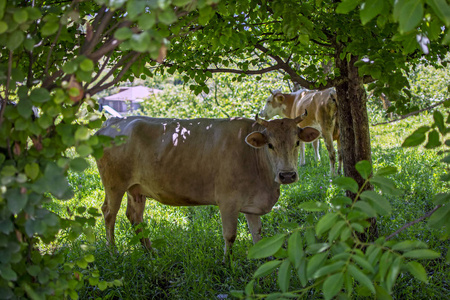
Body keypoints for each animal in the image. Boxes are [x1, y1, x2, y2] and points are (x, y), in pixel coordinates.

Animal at [96, 113, 320, 262]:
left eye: (297, 142)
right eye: (270, 145)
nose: (287, 175)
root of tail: (114, 121)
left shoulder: (252, 202)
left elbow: (257, 233)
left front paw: (263, 260)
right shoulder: (228, 201)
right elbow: (230, 235)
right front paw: (226, 263)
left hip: (136, 189)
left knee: (135, 216)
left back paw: (150, 251)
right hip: (114, 185)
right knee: (109, 213)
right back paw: (113, 251)